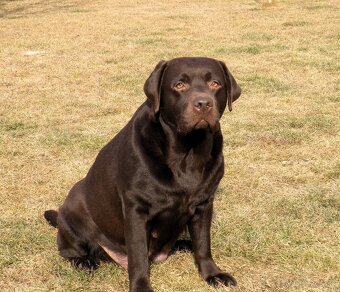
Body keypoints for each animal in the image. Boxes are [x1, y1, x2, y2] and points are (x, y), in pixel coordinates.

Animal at [44, 56, 242, 290]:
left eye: (215, 84)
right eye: (179, 85)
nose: (203, 103)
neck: (188, 151)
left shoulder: (204, 204)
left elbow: (203, 243)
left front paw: (213, 274)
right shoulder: (136, 210)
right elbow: (138, 255)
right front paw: (141, 286)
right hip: (72, 209)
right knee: (69, 250)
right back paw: (85, 261)